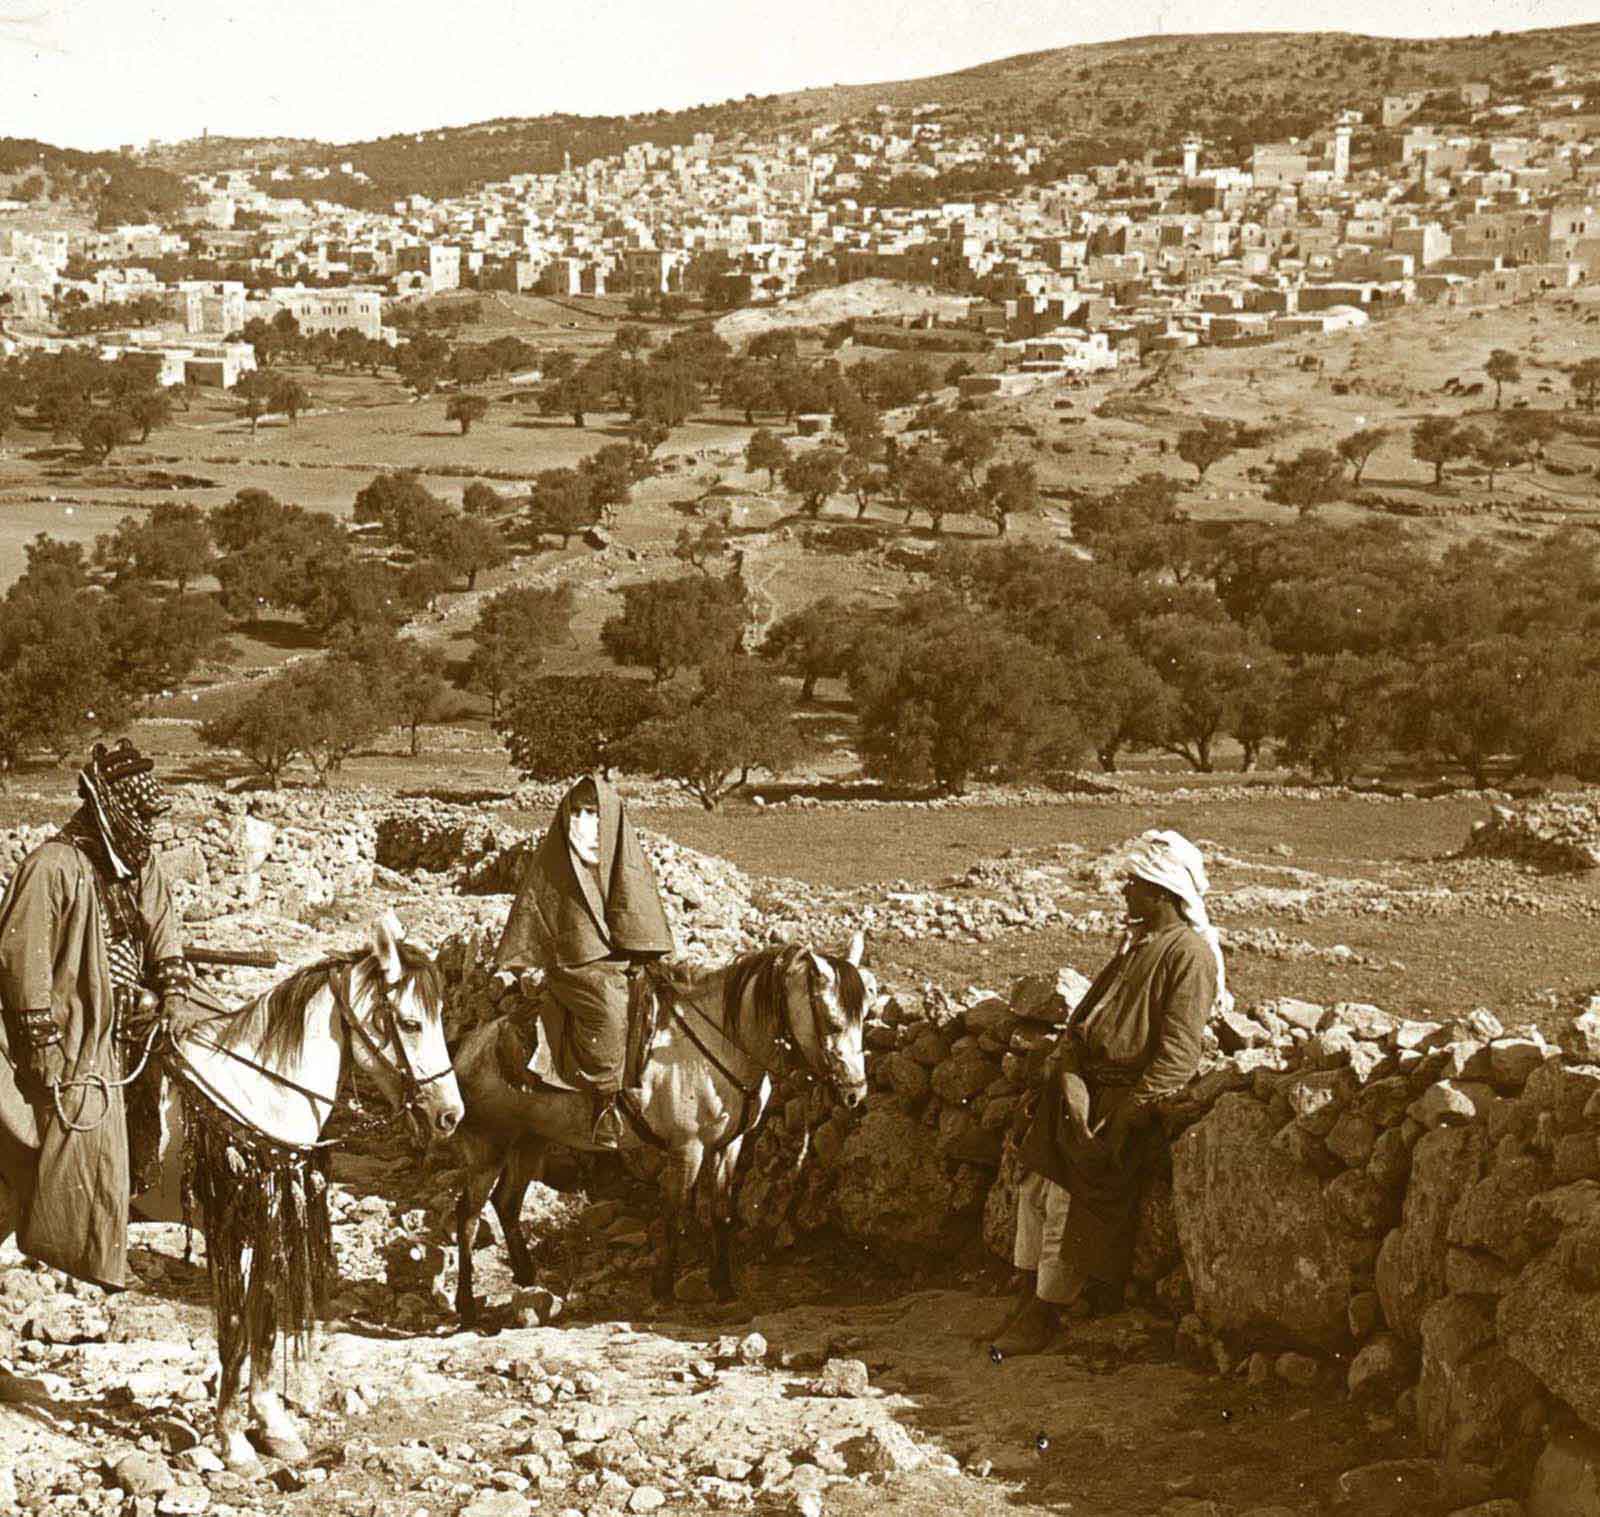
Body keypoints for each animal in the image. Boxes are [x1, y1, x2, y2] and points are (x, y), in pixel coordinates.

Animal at [3, 908, 464, 1478]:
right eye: (410, 1023)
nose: (450, 1115)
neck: (259, 1092)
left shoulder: (270, 1217)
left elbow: (265, 1316)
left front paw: (272, 1425)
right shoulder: (235, 1221)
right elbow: (240, 1326)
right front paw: (231, 1439)